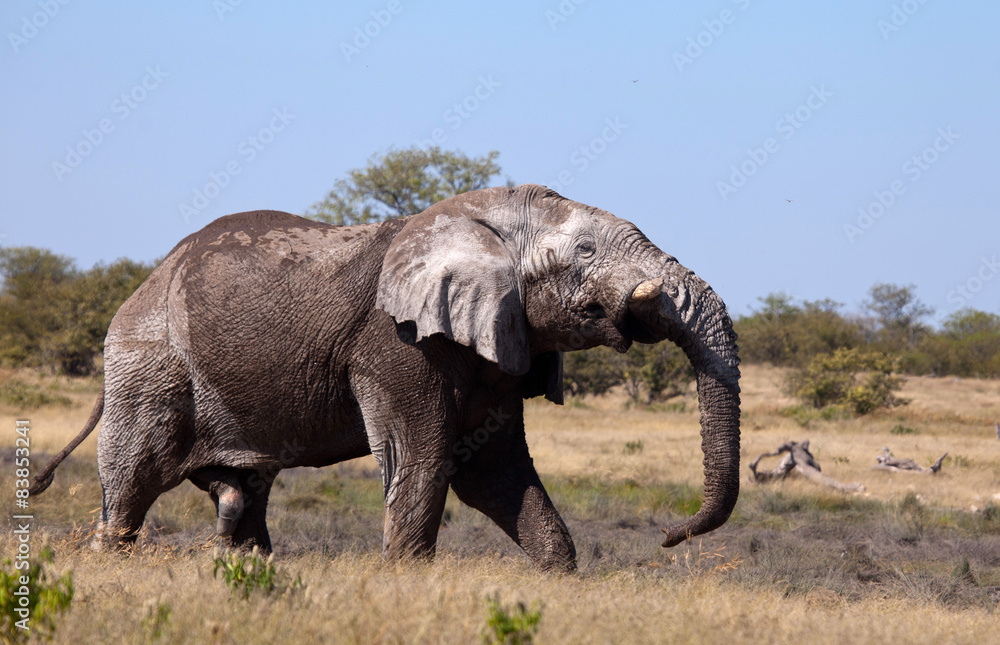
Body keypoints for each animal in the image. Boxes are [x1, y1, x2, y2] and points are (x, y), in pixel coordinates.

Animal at [30, 184, 740, 571]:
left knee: (243, 492)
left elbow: (496, 474)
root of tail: (142, 285)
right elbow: (423, 462)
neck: (477, 215)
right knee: (134, 480)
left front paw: (561, 580)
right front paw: (407, 580)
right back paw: (115, 563)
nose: (670, 536)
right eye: (586, 254)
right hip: (150, 363)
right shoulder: (397, 345)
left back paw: (247, 567)